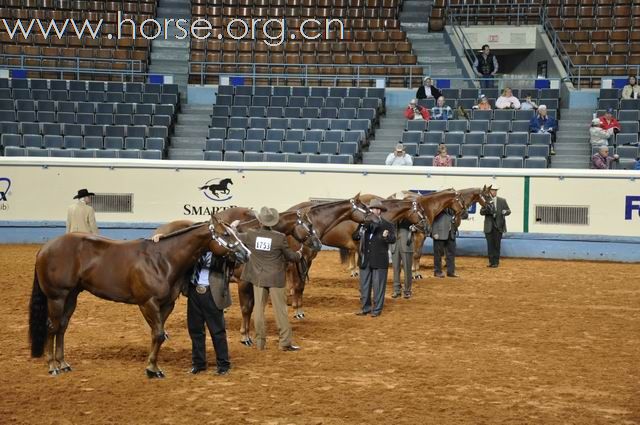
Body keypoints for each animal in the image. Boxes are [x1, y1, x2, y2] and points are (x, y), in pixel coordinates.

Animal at [29, 215, 250, 378]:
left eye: (234, 232)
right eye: (225, 234)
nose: (246, 253)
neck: (163, 260)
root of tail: (45, 249)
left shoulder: (166, 304)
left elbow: (158, 334)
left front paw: (152, 366)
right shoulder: (147, 303)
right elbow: (158, 334)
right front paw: (152, 369)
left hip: (71, 296)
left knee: (62, 327)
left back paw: (63, 363)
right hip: (57, 297)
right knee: (52, 327)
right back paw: (52, 366)